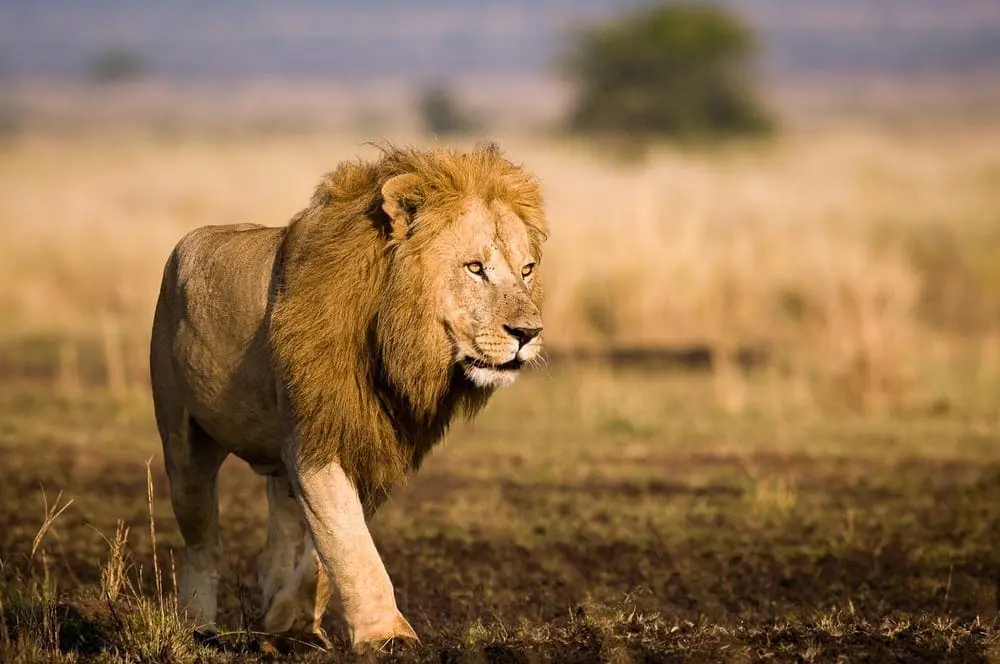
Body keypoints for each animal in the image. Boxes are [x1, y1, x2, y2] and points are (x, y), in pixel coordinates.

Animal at [149, 142, 547, 652]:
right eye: (475, 268)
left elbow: (329, 548)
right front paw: (388, 636)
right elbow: (348, 540)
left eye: (527, 271)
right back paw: (197, 624)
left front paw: (287, 621)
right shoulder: (314, 435)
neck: (395, 345)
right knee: (202, 539)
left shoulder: (376, 441)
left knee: (280, 528)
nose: (528, 333)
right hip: (183, 439)